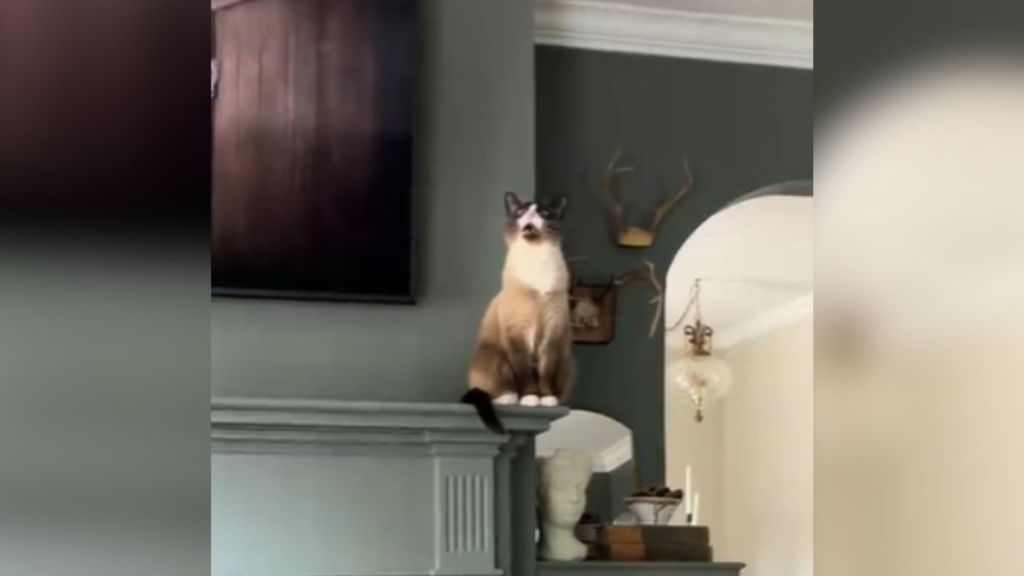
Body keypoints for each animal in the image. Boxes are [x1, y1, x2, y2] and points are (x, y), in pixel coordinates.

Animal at [464, 190, 577, 432]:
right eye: (521, 212)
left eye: (544, 213)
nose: (530, 216)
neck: (536, 259)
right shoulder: (518, 333)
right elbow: (524, 371)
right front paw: (530, 398)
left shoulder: (552, 333)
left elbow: (545, 371)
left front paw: (545, 398)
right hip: (493, 355)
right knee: (493, 390)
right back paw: (511, 398)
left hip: (568, 361)